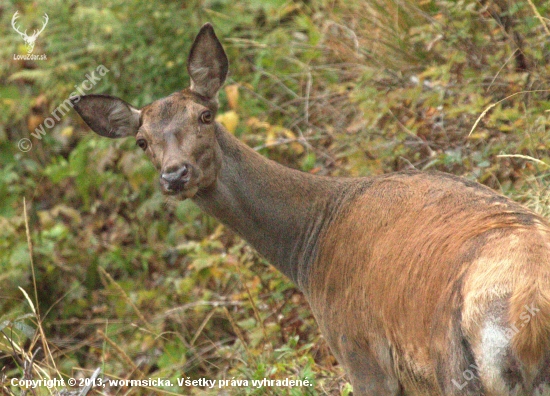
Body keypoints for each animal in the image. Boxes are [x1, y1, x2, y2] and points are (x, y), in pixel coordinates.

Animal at [71, 23, 550, 394]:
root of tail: (529, 320)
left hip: (454, 366)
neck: (309, 250)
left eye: (205, 116)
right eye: (141, 141)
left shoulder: (359, 351)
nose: (175, 175)